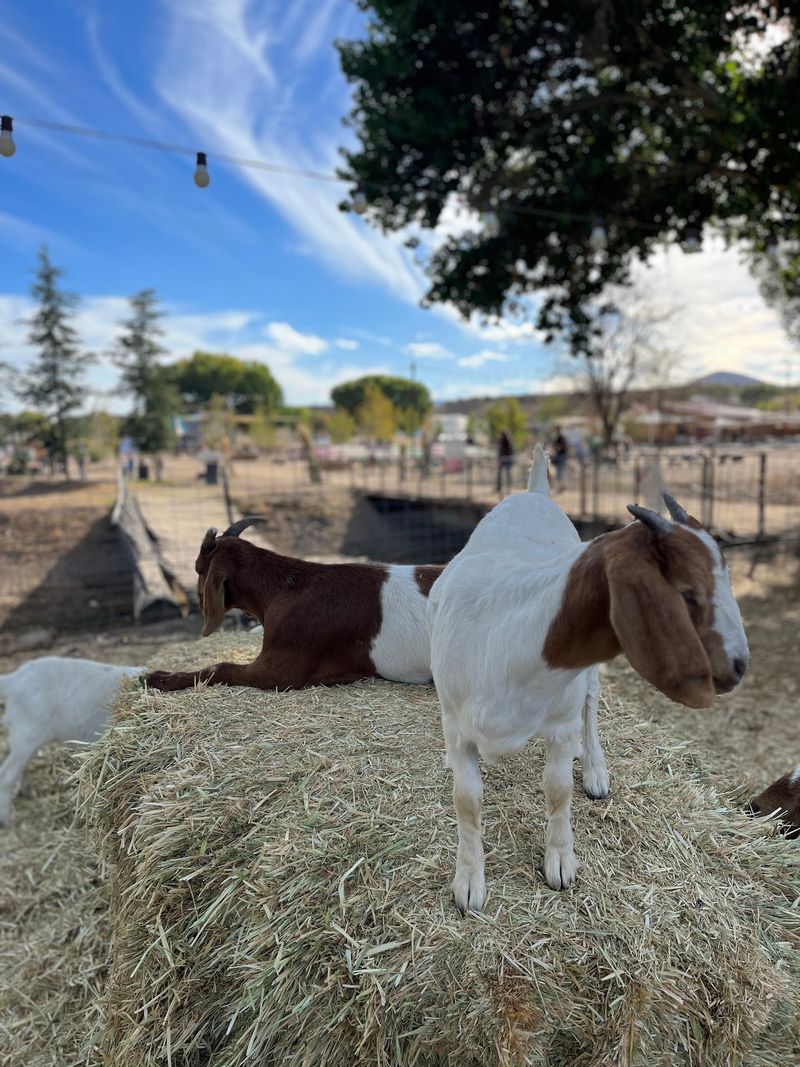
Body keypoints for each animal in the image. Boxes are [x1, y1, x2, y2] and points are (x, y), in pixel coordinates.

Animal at [145, 518, 445, 692]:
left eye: (198, 568)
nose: (197, 599)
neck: (287, 588)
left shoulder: (278, 670)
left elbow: (218, 668)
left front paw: (155, 678)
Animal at [428, 444, 749, 912]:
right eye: (687, 593)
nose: (740, 664)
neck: (510, 637)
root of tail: (535, 492)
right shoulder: (456, 725)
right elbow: (466, 799)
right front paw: (469, 882)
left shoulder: (561, 726)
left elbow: (558, 789)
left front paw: (560, 863)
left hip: (588, 680)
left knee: (591, 706)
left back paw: (595, 768)